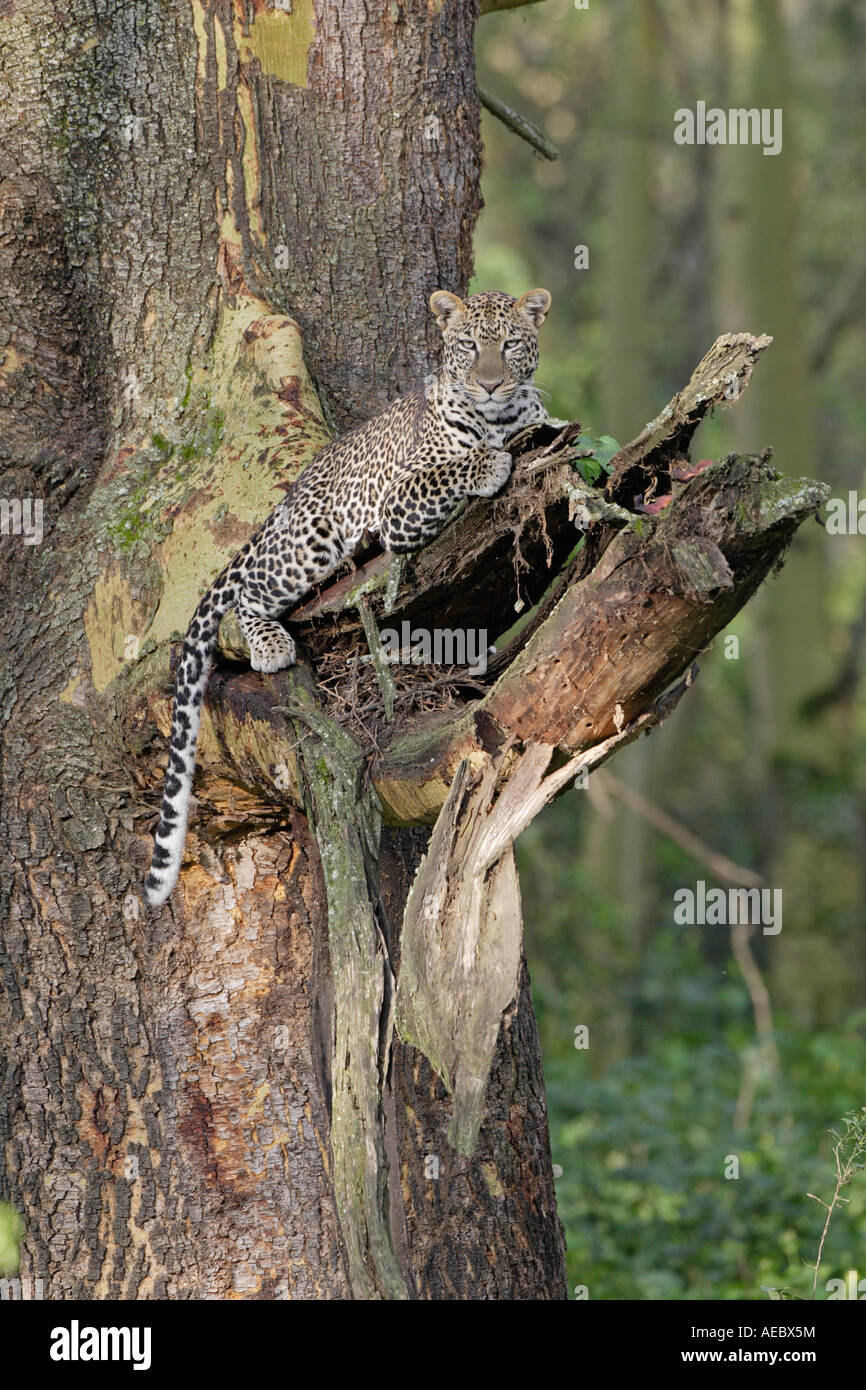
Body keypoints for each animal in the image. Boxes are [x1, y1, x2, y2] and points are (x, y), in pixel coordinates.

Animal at [144, 287, 552, 907]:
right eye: (467, 345)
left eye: (509, 344)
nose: (488, 384)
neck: (497, 417)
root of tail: (283, 503)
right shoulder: (399, 502)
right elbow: (455, 468)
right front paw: (489, 462)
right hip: (309, 543)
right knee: (248, 592)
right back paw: (269, 644)